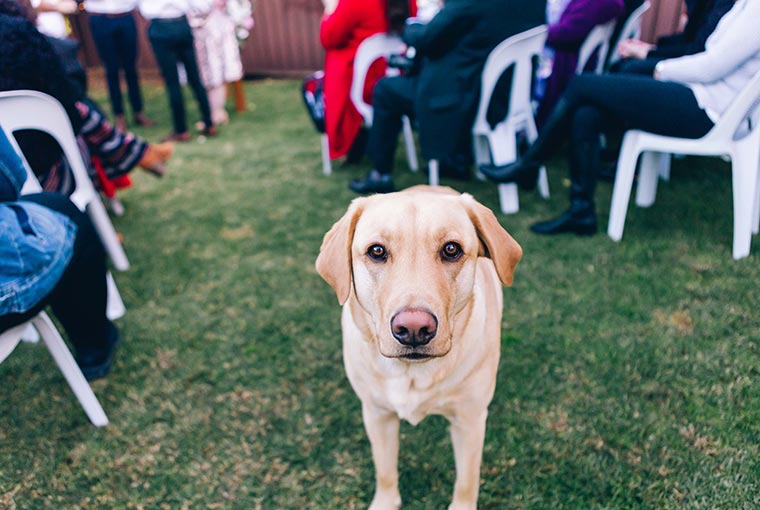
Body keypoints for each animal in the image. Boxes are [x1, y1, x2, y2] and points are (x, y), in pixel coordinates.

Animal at [316, 187, 524, 510]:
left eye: (451, 249)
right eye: (377, 251)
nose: (414, 328)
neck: (411, 373)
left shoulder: (470, 421)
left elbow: (467, 481)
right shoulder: (376, 414)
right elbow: (385, 469)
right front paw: (385, 501)